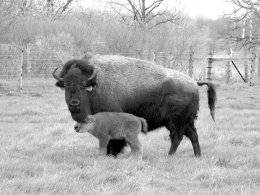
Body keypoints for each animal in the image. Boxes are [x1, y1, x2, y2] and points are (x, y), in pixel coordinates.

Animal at [52, 53, 215, 157]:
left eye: (82, 85)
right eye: (66, 85)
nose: (74, 103)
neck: (95, 84)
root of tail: (194, 82)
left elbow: (114, 140)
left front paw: (112, 154)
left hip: (176, 122)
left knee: (177, 138)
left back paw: (169, 155)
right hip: (187, 122)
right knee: (193, 136)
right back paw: (197, 156)